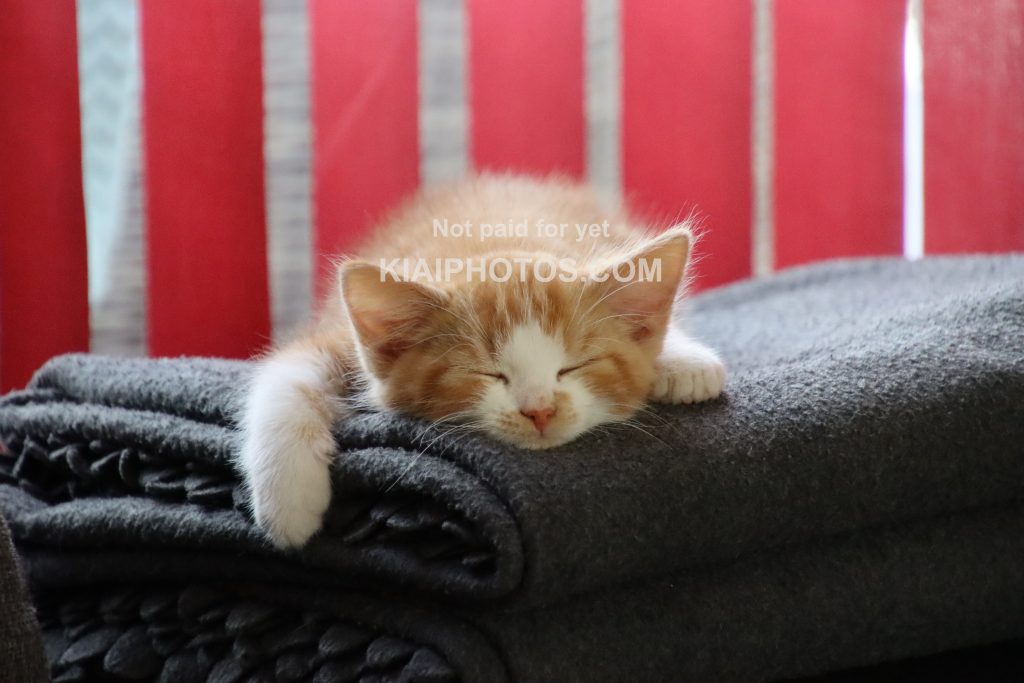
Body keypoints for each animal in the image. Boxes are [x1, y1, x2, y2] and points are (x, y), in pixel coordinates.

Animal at [237, 174, 729, 548]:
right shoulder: (335, 337)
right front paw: (288, 498)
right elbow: (286, 375)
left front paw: (684, 363)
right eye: (488, 373)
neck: (498, 240)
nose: (540, 410)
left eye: (573, 366)